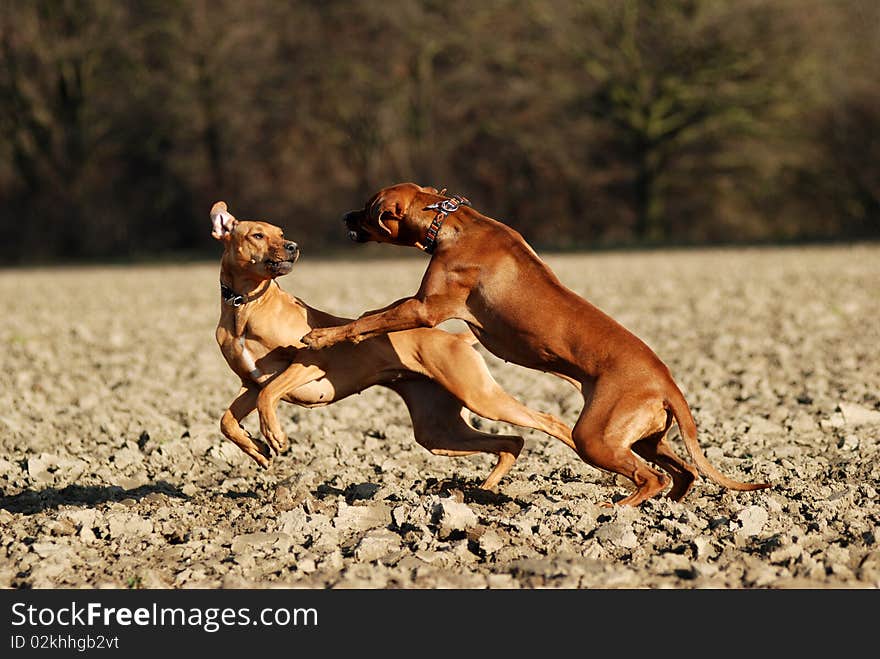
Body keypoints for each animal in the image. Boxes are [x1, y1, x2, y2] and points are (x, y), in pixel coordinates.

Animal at [210, 201, 576, 490]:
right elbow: (227, 421)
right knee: (511, 440)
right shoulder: (250, 384)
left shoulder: (308, 364)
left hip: (481, 397)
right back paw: (486, 486)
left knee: (549, 422)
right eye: (258, 235)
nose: (292, 246)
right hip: (438, 430)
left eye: (279, 232)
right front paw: (256, 449)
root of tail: (454, 337)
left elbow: (270, 396)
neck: (245, 308)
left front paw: (274, 435)